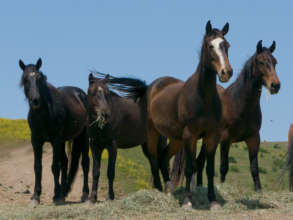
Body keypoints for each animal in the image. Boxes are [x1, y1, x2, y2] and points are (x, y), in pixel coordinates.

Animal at [19, 58, 89, 205]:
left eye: (39, 78)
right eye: (25, 79)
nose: (35, 100)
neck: (44, 114)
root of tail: (81, 94)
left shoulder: (55, 140)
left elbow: (54, 166)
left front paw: (56, 195)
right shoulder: (36, 141)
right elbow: (38, 167)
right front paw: (36, 196)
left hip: (83, 137)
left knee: (85, 163)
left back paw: (85, 195)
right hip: (63, 142)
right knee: (66, 162)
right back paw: (64, 192)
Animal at [104, 20, 232, 208]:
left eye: (226, 45)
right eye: (210, 46)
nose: (226, 72)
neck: (203, 98)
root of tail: (150, 87)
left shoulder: (212, 135)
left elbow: (208, 169)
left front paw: (213, 201)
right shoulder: (190, 135)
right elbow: (190, 168)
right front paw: (187, 201)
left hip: (176, 138)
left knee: (163, 158)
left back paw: (169, 189)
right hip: (153, 133)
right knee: (153, 159)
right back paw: (158, 190)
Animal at [171, 39, 280, 192]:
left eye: (275, 62)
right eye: (261, 62)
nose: (275, 85)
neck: (239, 103)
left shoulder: (254, 139)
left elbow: (254, 168)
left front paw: (258, 190)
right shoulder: (225, 139)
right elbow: (223, 167)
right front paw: (222, 187)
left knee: (199, 162)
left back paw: (199, 187)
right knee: (196, 163)